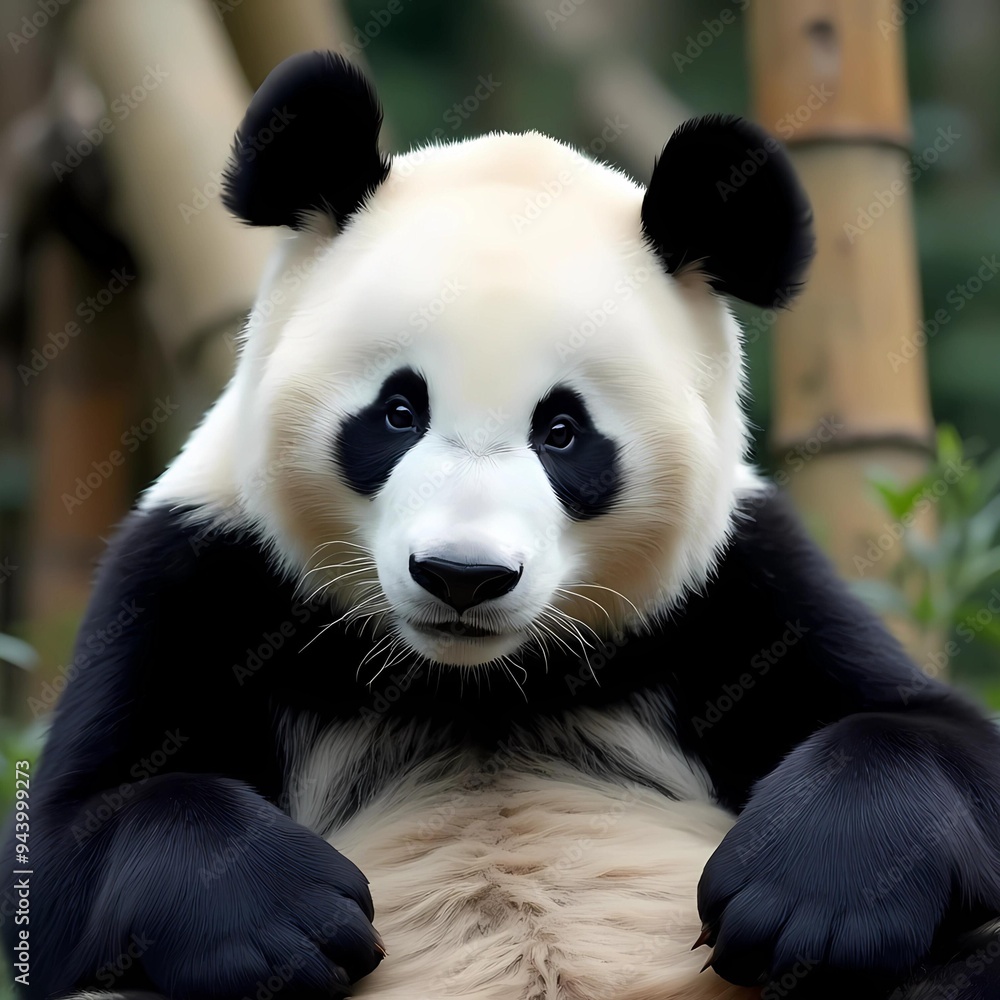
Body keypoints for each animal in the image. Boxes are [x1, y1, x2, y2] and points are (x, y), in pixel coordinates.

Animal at [6, 50, 1000, 1000]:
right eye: (398, 412)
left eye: (562, 432)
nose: (463, 576)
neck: (472, 682)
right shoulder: (204, 564)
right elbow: (73, 835)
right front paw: (284, 924)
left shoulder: (738, 585)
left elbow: (930, 734)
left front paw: (808, 900)